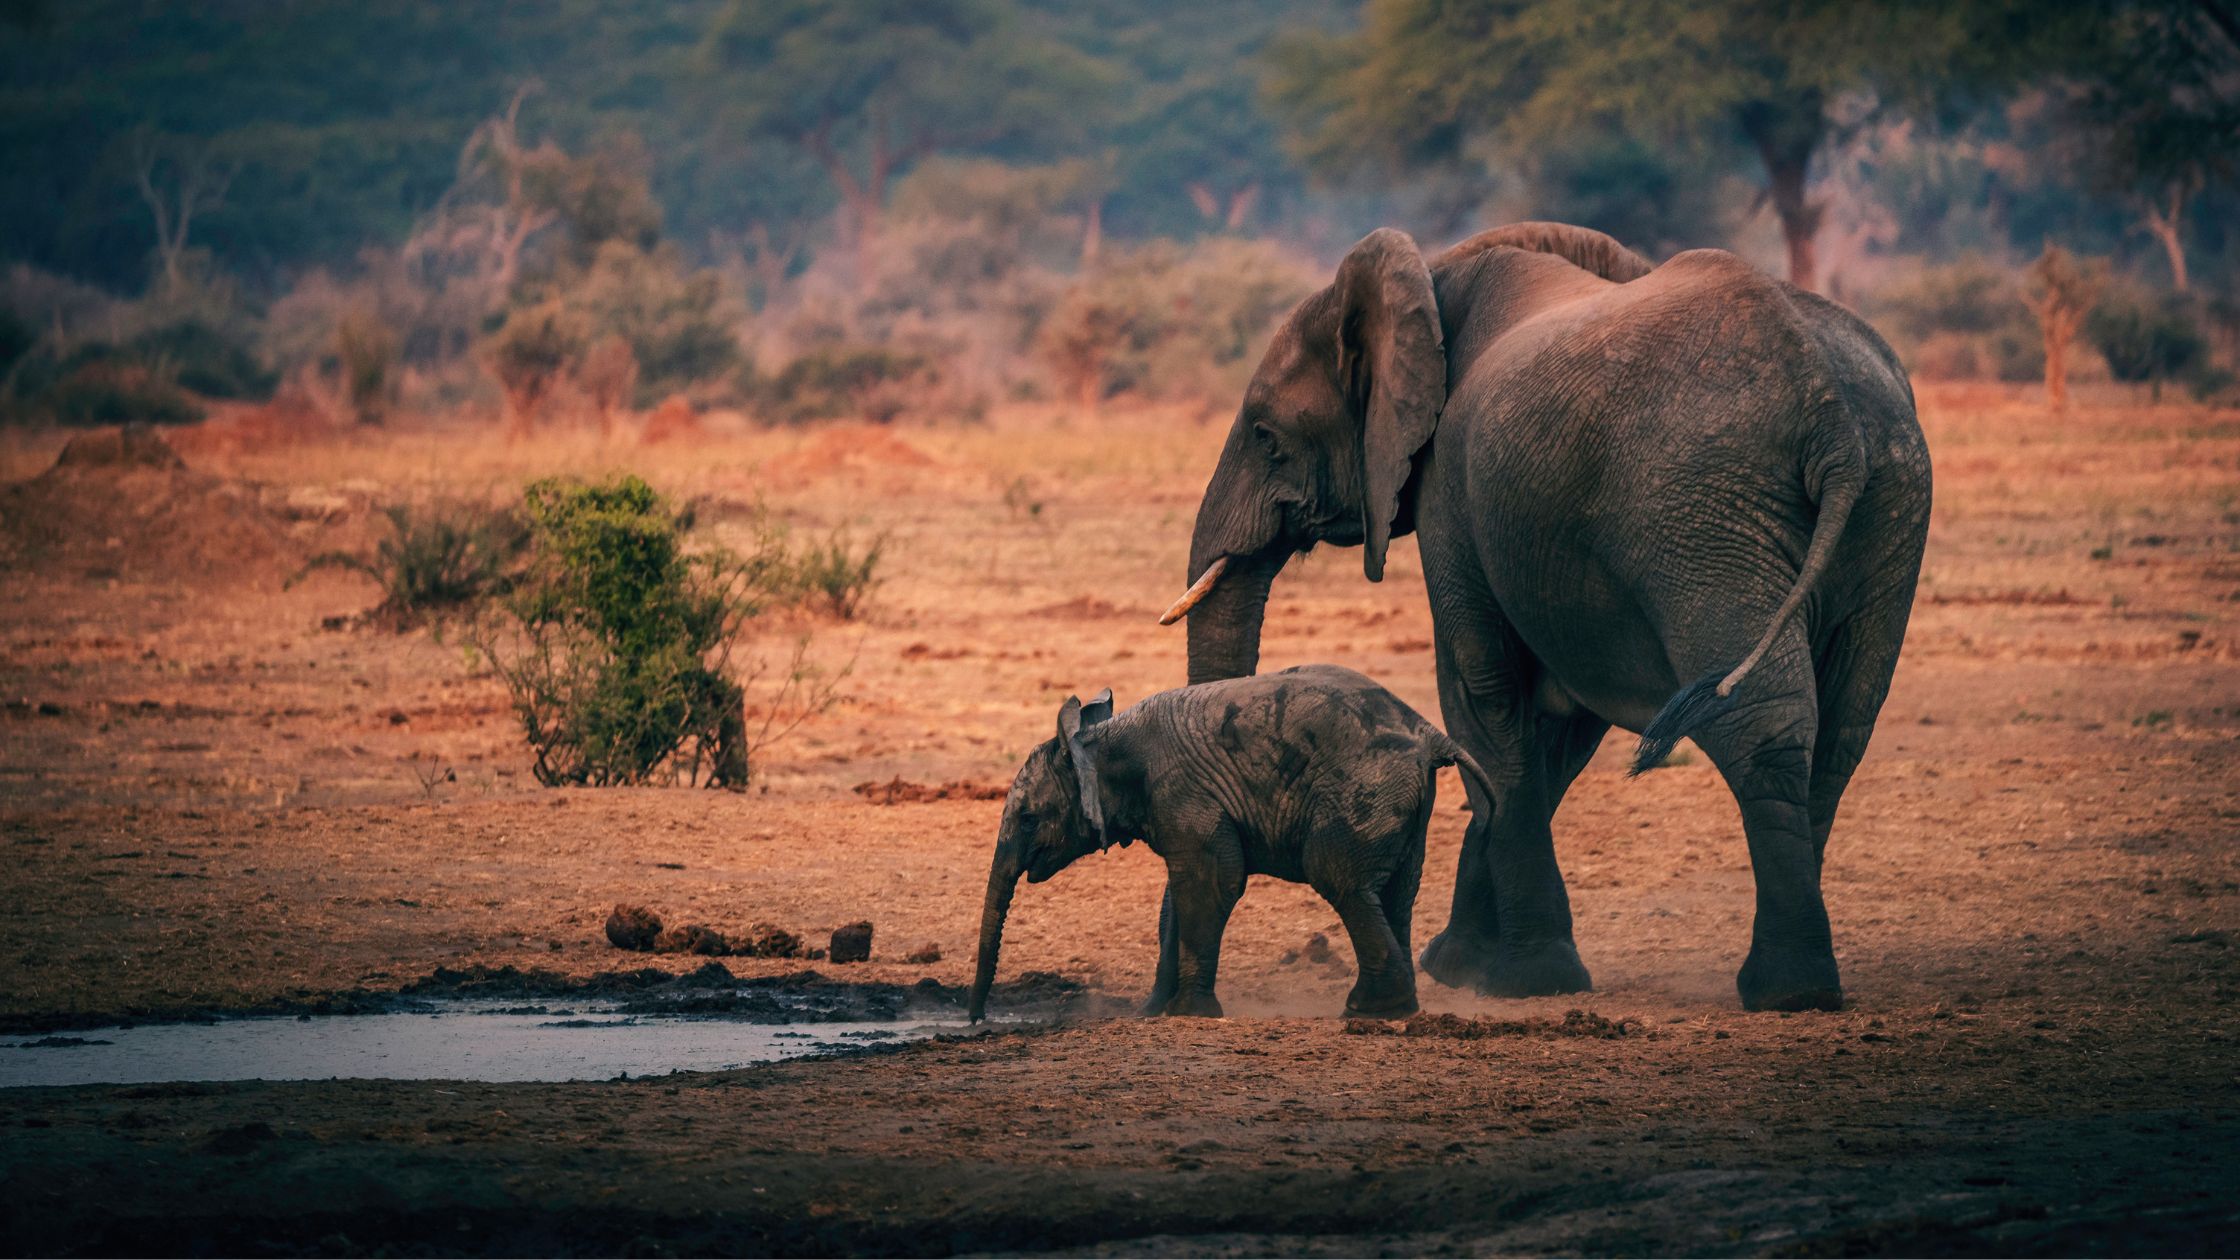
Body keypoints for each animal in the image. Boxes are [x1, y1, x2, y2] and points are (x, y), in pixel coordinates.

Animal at [967, 663, 1478, 1013]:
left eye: (1028, 819)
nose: (977, 1021)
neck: (1103, 741)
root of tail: (1429, 735)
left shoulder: (1183, 793)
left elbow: (1212, 881)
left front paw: (1188, 1013)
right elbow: (1184, 891)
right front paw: (1156, 1012)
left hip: (1363, 789)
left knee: (1341, 879)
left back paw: (1366, 1010)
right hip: (1408, 805)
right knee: (1396, 893)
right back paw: (1397, 1008)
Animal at [1173, 223, 1926, 1008]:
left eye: (1265, 436)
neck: (1434, 281)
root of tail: (1830, 416)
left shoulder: (1451, 494)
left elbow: (1483, 695)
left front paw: (1526, 981)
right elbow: (1553, 729)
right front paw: (1461, 967)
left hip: (1707, 513)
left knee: (1761, 723)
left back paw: (1784, 989)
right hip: (1886, 504)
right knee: (1841, 729)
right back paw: (1805, 980)